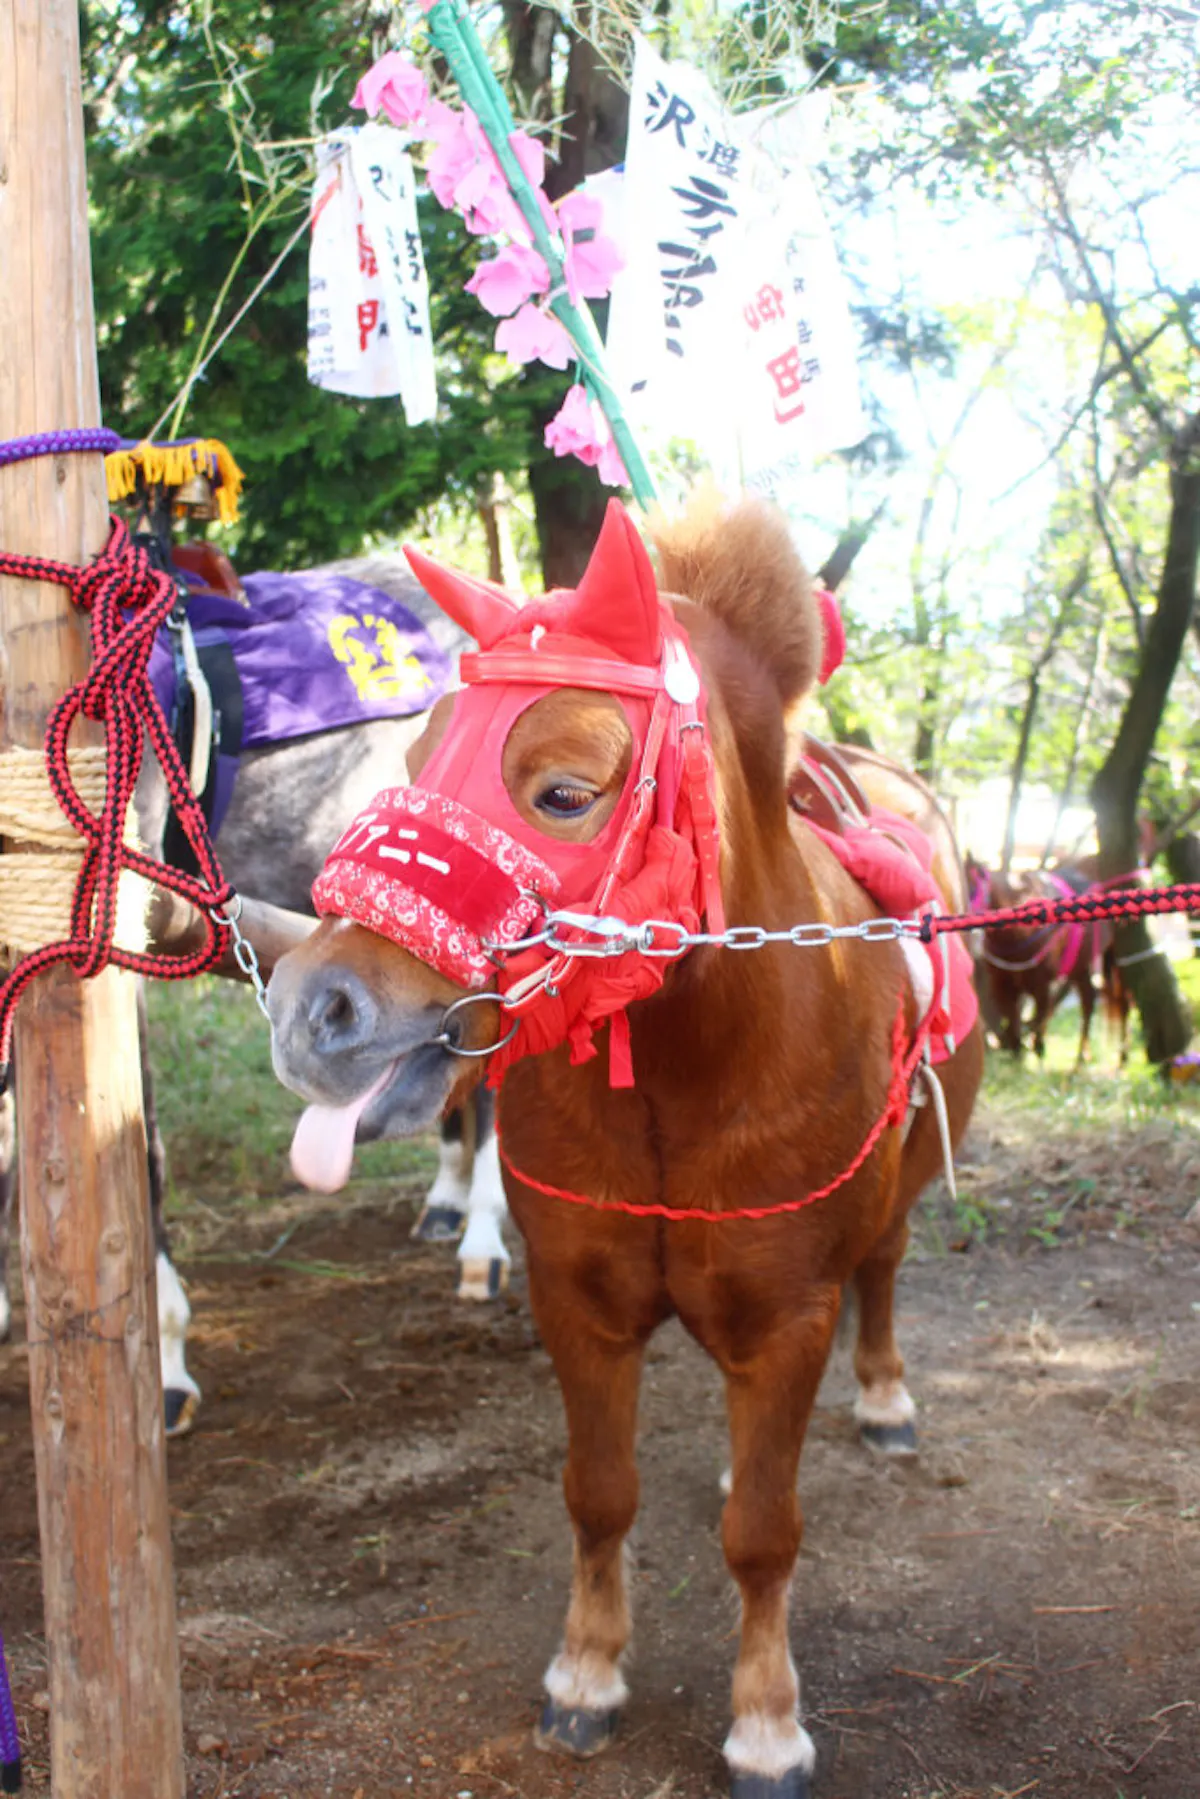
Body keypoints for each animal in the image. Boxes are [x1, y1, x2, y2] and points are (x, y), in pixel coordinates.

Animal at [266, 493, 984, 1798]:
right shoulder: (580, 1301)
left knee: (885, 1270)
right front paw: (588, 1670)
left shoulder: (790, 1313)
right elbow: (600, 1494)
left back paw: (884, 1396)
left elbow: (765, 1533)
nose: (311, 1010)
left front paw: (766, 1719)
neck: (691, 1067)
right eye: (415, 758)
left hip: (895, 1201)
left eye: (561, 790)